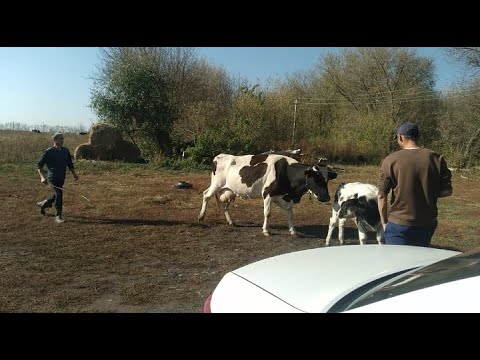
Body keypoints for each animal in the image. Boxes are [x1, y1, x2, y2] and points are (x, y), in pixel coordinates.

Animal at [197, 153, 336, 235]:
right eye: (316, 178)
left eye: (327, 179)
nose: (326, 197)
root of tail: (219, 156)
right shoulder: (268, 194)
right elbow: (267, 213)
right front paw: (265, 230)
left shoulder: (284, 197)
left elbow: (290, 213)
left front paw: (292, 230)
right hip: (217, 185)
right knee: (206, 195)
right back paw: (201, 216)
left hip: (229, 192)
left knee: (224, 205)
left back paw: (231, 221)